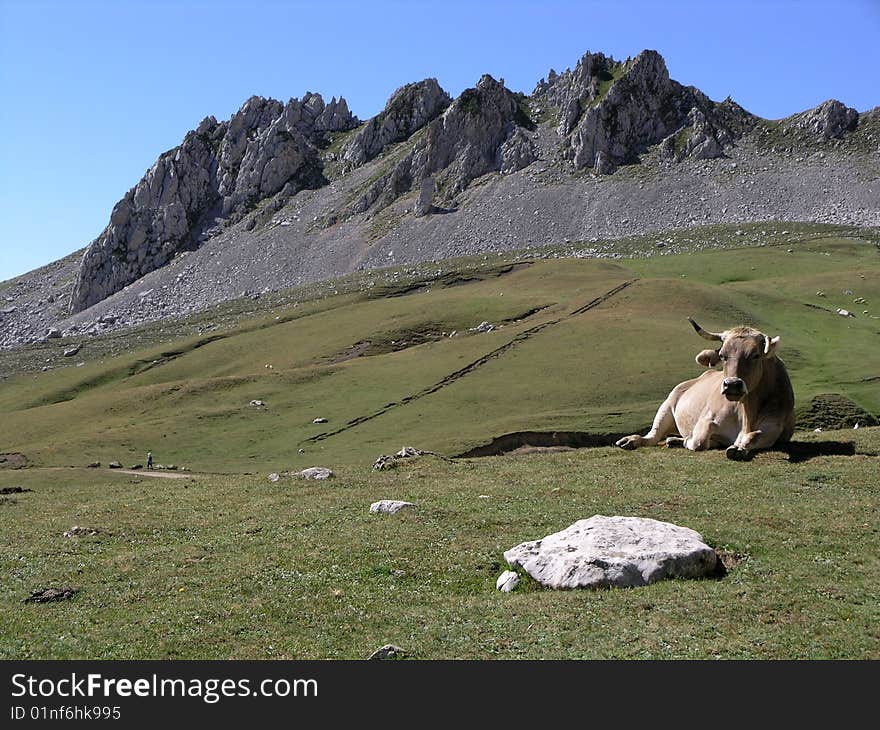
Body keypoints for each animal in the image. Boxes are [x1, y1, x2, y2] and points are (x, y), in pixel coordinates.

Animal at [612, 316, 796, 458]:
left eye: (755, 355)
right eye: (722, 355)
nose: (732, 385)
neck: (747, 412)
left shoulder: (775, 427)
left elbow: (751, 437)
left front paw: (737, 447)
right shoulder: (707, 418)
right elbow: (698, 442)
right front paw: (689, 441)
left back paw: (674, 440)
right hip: (666, 406)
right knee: (653, 435)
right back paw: (632, 440)